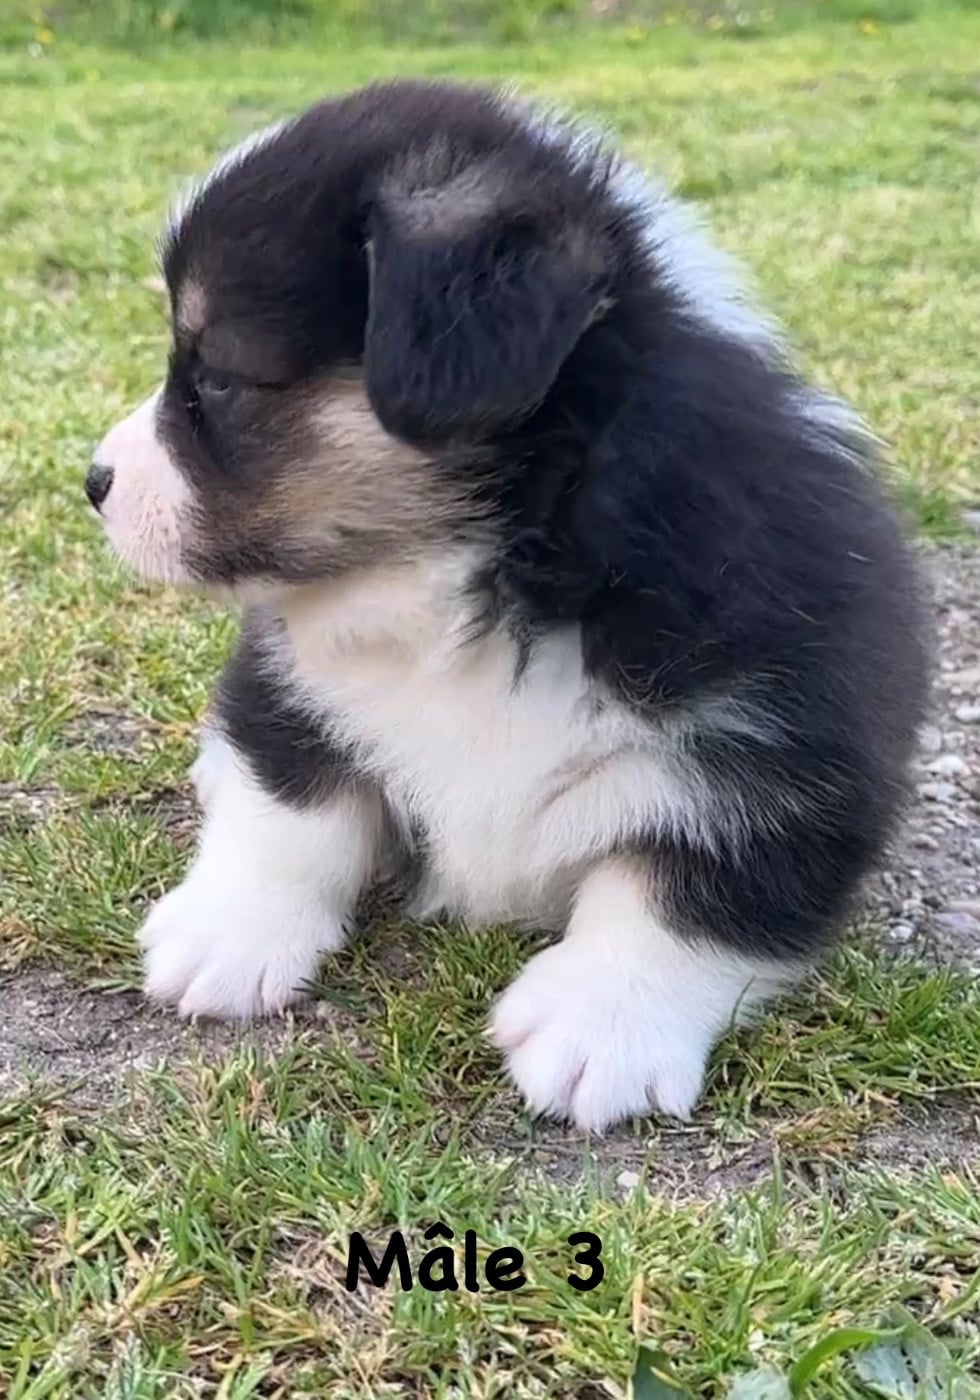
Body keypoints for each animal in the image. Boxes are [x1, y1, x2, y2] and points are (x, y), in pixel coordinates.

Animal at [88, 79, 928, 1131]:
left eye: (219, 378)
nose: (93, 481)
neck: (474, 585)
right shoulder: (283, 682)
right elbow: (291, 808)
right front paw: (225, 934)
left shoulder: (791, 756)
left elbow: (682, 893)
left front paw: (599, 1026)